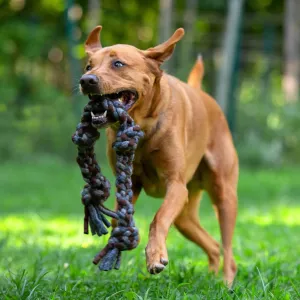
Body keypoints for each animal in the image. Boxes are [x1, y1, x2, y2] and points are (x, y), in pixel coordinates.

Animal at [79, 25, 239, 286]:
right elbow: (116, 218)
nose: (86, 81)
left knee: (227, 250)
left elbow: (158, 218)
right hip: (185, 215)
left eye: (118, 64)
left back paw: (226, 284)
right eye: (88, 66)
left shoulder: (176, 185)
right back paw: (212, 279)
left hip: (223, 196)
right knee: (213, 246)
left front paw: (155, 256)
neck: (143, 126)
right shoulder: (133, 184)